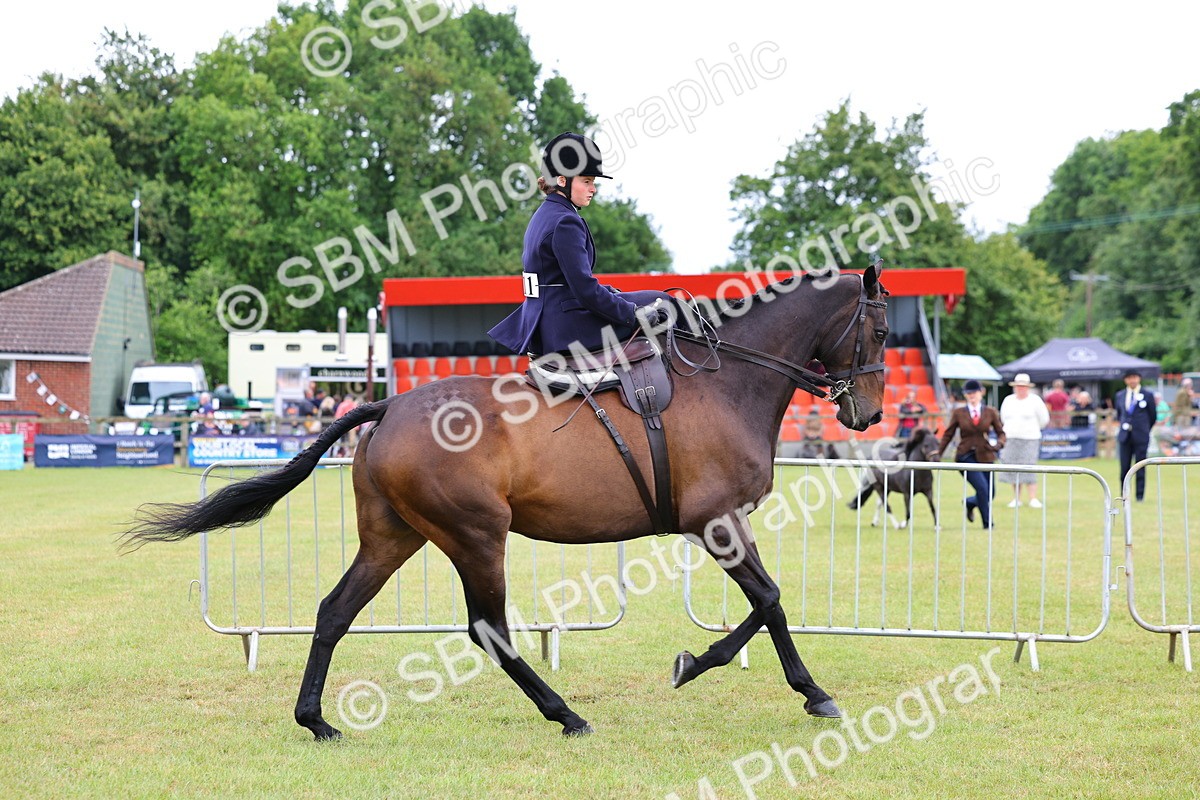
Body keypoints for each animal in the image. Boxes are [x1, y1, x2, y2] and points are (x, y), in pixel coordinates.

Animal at [123, 264, 889, 740]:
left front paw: (712, 666)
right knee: (488, 629)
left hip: (393, 538)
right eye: (881, 331)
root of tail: (390, 403)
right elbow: (770, 601)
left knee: (335, 611)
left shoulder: (718, 527)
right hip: (476, 536)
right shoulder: (715, 524)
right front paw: (789, 687)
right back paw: (565, 715)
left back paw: (315, 720)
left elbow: (765, 603)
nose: (870, 414)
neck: (728, 379)